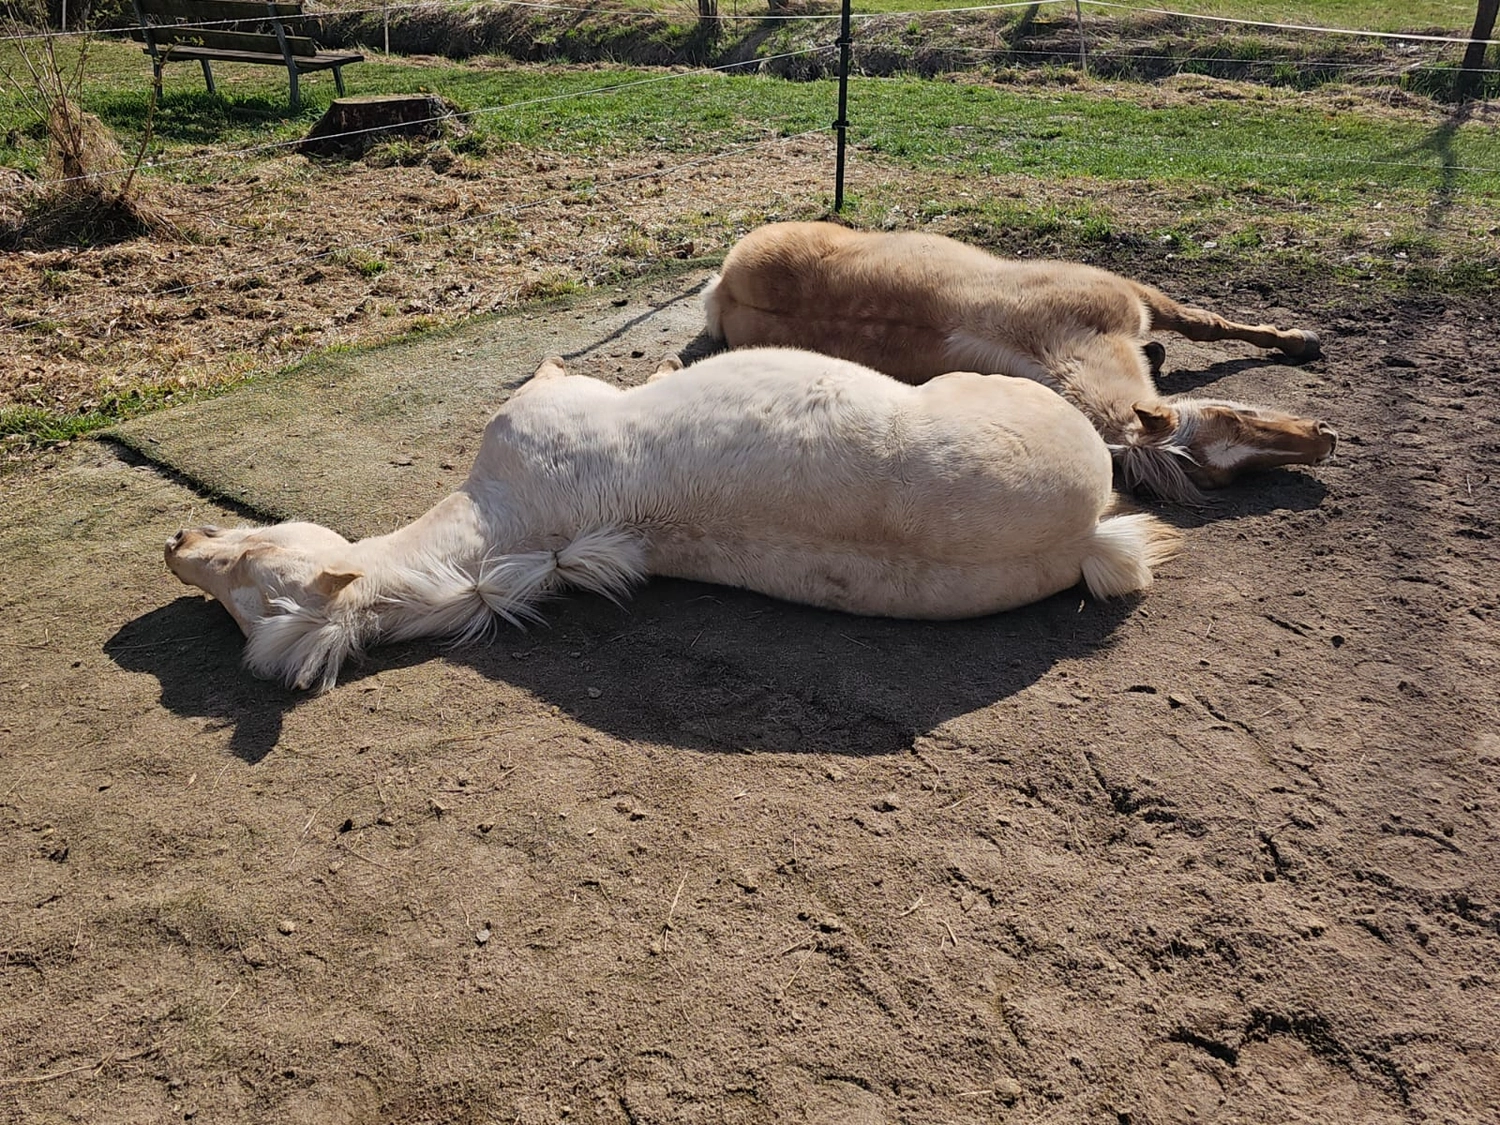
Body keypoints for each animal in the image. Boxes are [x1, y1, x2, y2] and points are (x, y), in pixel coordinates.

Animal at [703, 221, 1337, 503]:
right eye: (1230, 426)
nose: (1325, 438)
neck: (1050, 339)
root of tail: (723, 287)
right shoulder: (1138, 298)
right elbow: (1205, 322)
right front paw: (1300, 340)